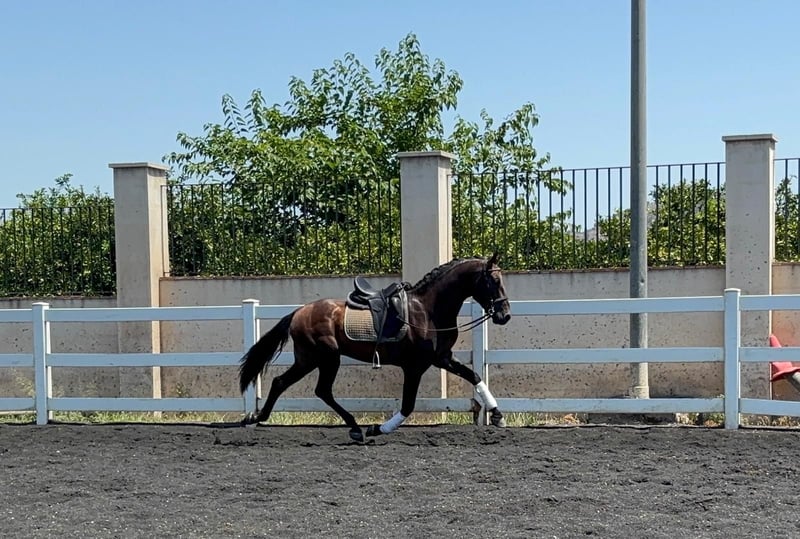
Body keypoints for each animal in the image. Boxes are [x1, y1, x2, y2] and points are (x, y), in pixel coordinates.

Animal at [238, 254, 511, 442]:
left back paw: (259, 417)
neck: (427, 310)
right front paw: (378, 428)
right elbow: (407, 405)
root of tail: (298, 312)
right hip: (323, 358)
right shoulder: (415, 367)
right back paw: (354, 427)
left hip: (311, 359)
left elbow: (474, 376)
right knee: (314, 389)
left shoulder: (441, 358)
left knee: (289, 384)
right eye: (494, 280)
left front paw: (497, 415)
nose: (505, 315)